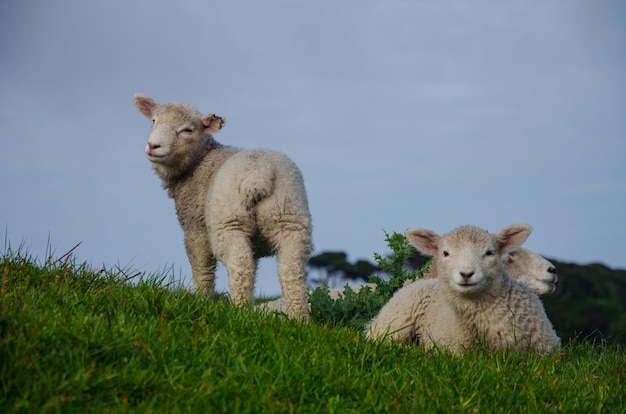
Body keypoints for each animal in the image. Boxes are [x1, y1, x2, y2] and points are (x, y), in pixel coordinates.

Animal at [135, 94, 314, 320]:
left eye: (187, 130)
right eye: (153, 120)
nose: (153, 146)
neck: (199, 162)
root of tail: (258, 174)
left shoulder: (196, 228)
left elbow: (202, 269)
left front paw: (202, 303)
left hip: (229, 222)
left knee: (240, 265)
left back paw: (241, 313)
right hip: (290, 218)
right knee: (291, 269)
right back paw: (299, 319)